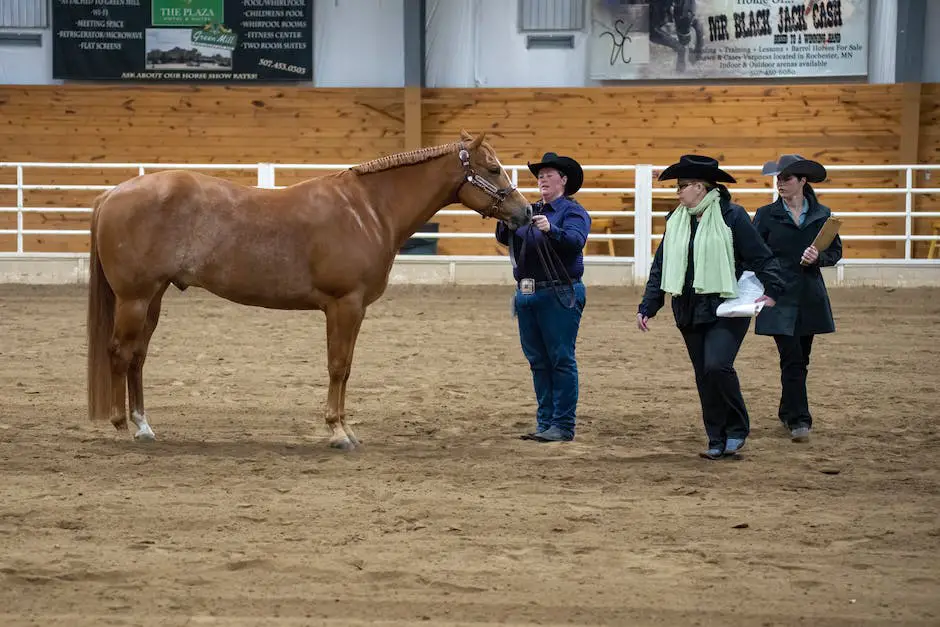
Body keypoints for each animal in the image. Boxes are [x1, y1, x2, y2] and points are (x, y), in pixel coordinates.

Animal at [87, 129, 532, 452]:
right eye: (493, 169)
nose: (527, 212)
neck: (368, 210)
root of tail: (112, 194)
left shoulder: (353, 309)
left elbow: (346, 368)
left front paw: (345, 428)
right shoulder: (344, 305)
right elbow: (338, 366)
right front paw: (337, 432)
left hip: (153, 297)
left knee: (137, 356)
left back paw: (144, 426)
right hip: (134, 299)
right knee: (120, 353)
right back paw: (121, 426)